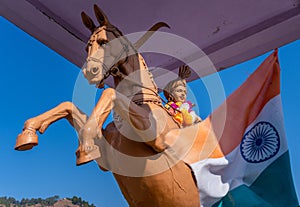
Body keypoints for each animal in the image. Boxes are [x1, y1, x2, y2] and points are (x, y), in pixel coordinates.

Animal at [15, 4, 200, 207]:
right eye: (87, 47)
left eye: (104, 42)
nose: (90, 72)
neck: (144, 102)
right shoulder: (106, 159)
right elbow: (68, 106)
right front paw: (28, 134)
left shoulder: (158, 139)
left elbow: (109, 93)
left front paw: (85, 145)